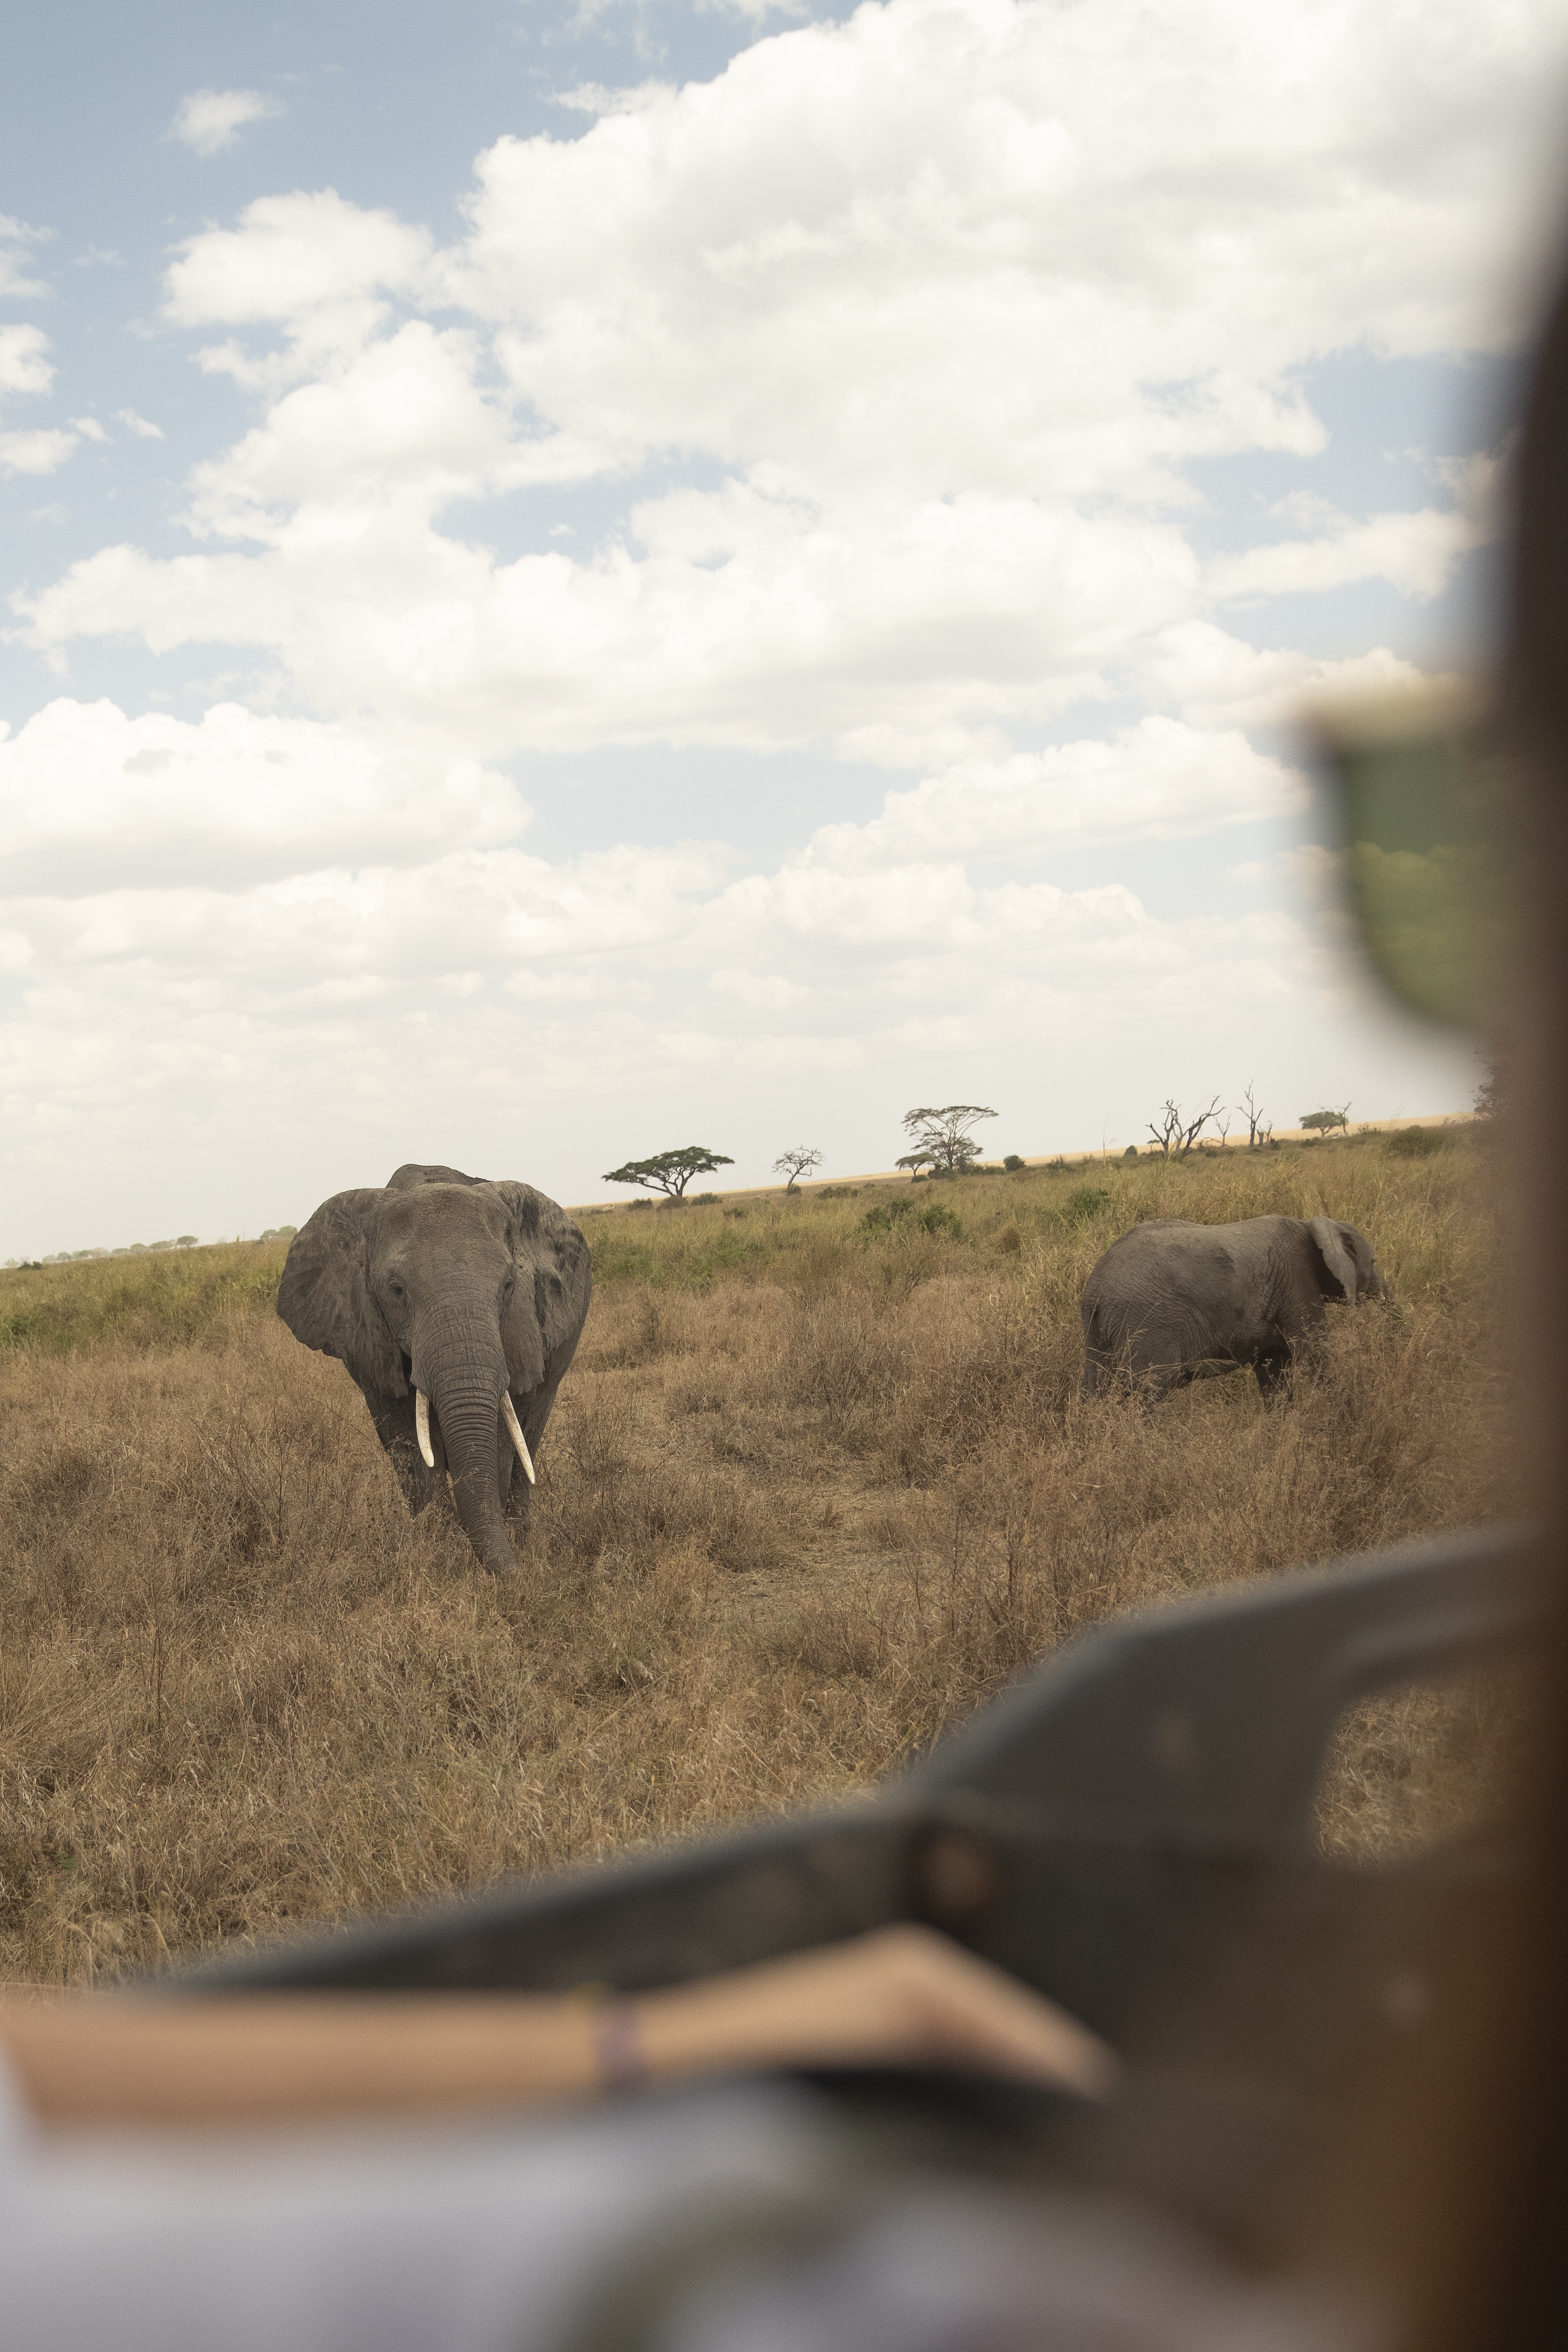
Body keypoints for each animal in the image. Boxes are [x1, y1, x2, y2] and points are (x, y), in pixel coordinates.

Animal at [277, 1163, 592, 1575]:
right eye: (396, 1290)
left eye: (509, 1285)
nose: (519, 1577)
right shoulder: (368, 1343)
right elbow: (408, 1445)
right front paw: (439, 1552)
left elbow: (501, 1439)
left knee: (530, 1436)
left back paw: (520, 1535)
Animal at [1080, 1214, 1387, 1403]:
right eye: (1374, 1262)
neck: (1309, 1225)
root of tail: (1094, 1288)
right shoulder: (1296, 1282)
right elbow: (1315, 1352)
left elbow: (1274, 1367)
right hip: (1147, 1322)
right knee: (1149, 1393)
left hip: (1099, 1332)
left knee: (1099, 1389)